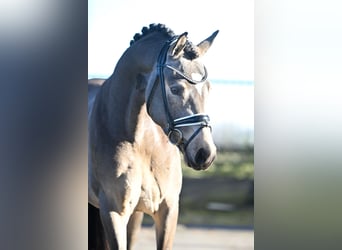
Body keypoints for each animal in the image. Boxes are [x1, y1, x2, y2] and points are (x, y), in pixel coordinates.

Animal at [88, 23, 219, 248]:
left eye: (208, 89)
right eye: (175, 89)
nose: (205, 153)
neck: (140, 143)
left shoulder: (168, 210)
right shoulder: (114, 214)